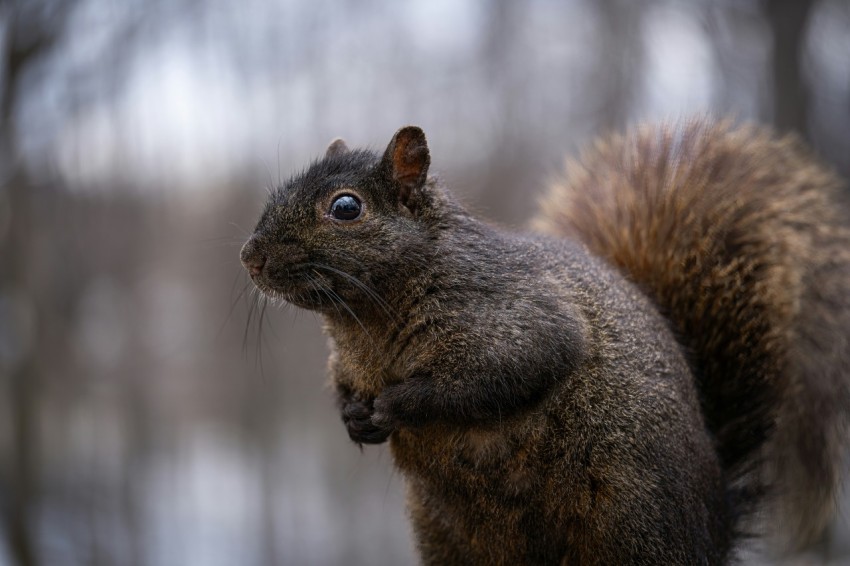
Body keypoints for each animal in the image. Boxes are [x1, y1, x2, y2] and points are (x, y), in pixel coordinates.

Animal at [240, 119, 850, 565]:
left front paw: (397, 404)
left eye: (346, 207)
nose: (250, 255)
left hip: (632, 527)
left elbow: (496, 378)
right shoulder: (347, 363)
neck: (364, 325)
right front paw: (354, 417)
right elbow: (344, 389)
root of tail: (717, 520)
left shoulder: (521, 324)